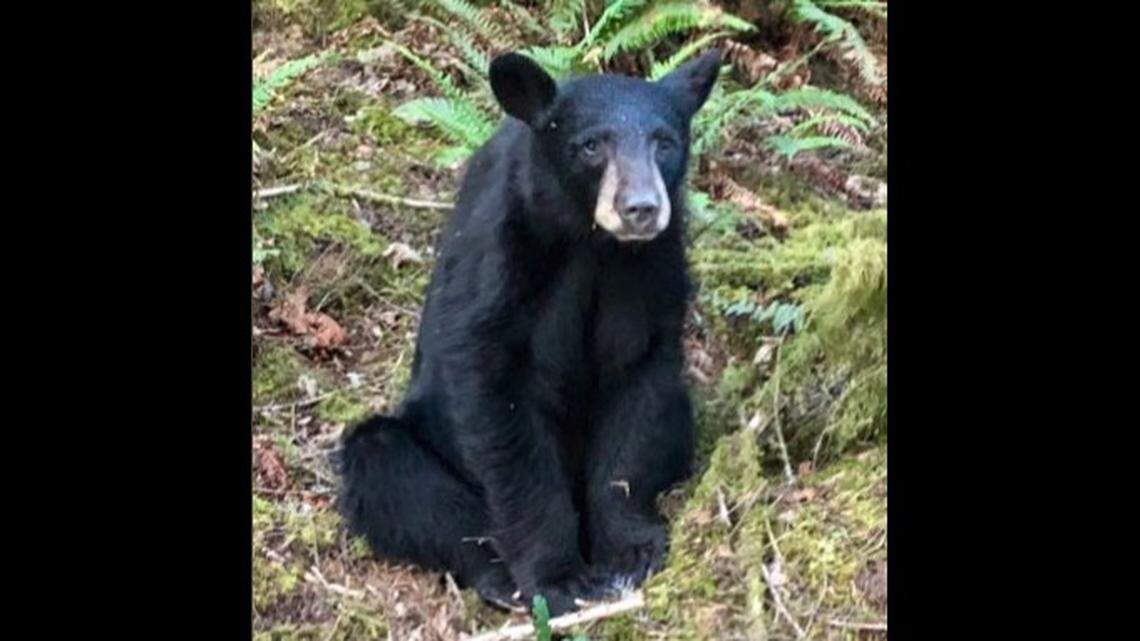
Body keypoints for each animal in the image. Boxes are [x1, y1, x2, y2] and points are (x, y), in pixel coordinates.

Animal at [338, 49, 721, 616]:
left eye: (665, 142)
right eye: (591, 145)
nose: (641, 208)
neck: (590, 242)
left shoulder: (652, 269)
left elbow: (639, 386)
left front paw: (629, 550)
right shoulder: (501, 259)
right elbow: (498, 405)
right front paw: (557, 576)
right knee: (387, 468)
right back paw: (497, 574)